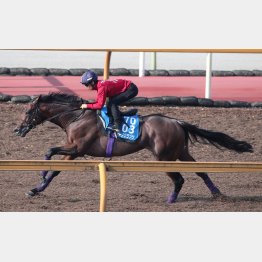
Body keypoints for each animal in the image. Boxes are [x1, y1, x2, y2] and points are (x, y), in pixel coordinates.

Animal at [14, 93, 254, 204]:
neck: (76, 116)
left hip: (164, 157)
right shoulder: (73, 152)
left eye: (27, 112)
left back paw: (170, 200)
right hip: (181, 152)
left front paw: (40, 174)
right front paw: (35, 189)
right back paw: (217, 193)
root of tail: (177, 122)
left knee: (179, 179)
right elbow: (55, 168)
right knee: (201, 171)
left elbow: (49, 152)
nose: (18, 129)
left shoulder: (77, 149)